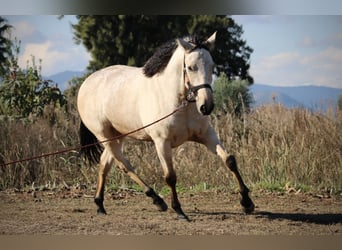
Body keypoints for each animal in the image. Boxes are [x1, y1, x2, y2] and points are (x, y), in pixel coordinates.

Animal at [77, 31, 254, 221]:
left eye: (212, 66)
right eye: (190, 67)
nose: (206, 106)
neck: (179, 102)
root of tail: (87, 83)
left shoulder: (206, 135)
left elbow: (230, 160)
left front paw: (247, 203)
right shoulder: (162, 142)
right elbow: (170, 177)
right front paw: (179, 211)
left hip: (118, 135)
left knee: (105, 164)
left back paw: (100, 204)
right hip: (105, 136)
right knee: (124, 165)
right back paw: (157, 200)